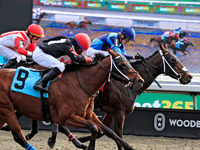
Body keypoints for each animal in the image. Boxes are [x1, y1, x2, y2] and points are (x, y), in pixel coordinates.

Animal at [0, 50, 144, 150]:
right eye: (123, 64)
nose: (140, 80)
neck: (80, 84)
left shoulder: (90, 115)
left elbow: (110, 132)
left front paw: (129, 147)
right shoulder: (67, 117)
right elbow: (94, 128)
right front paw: (89, 147)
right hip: (7, 109)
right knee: (19, 137)